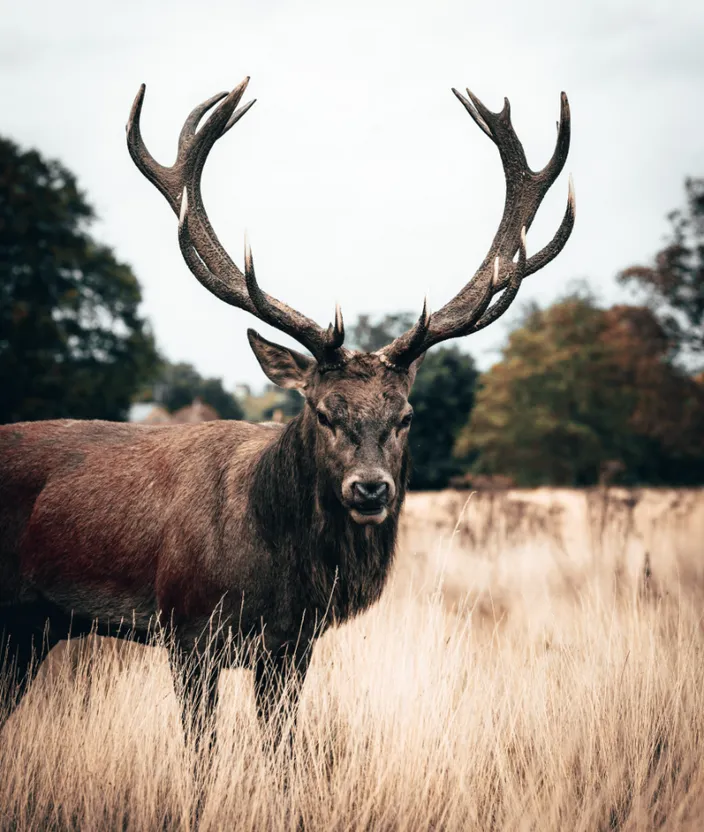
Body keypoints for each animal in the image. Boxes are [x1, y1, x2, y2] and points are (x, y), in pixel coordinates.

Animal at [0, 75, 572, 744]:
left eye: (405, 416)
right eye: (323, 411)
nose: (370, 489)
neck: (279, 576)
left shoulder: (292, 646)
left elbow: (281, 749)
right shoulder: (188, 630)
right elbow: (202, 752)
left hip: (32, 627)